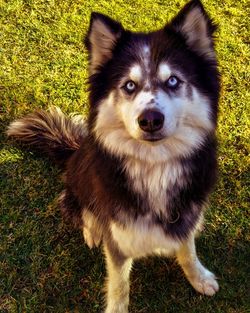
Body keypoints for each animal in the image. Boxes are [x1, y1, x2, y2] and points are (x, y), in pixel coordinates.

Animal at [7, 1, 221, 310]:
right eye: (129, 85)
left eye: (172, 81)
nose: (150, 120)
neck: (155, 167)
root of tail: (74, 150)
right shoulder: (118, 240)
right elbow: (119, 285)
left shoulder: (187, 215)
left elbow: (188, 250)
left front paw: (199, 277)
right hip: (79, 184)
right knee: (82, 209)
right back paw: (92, 230)